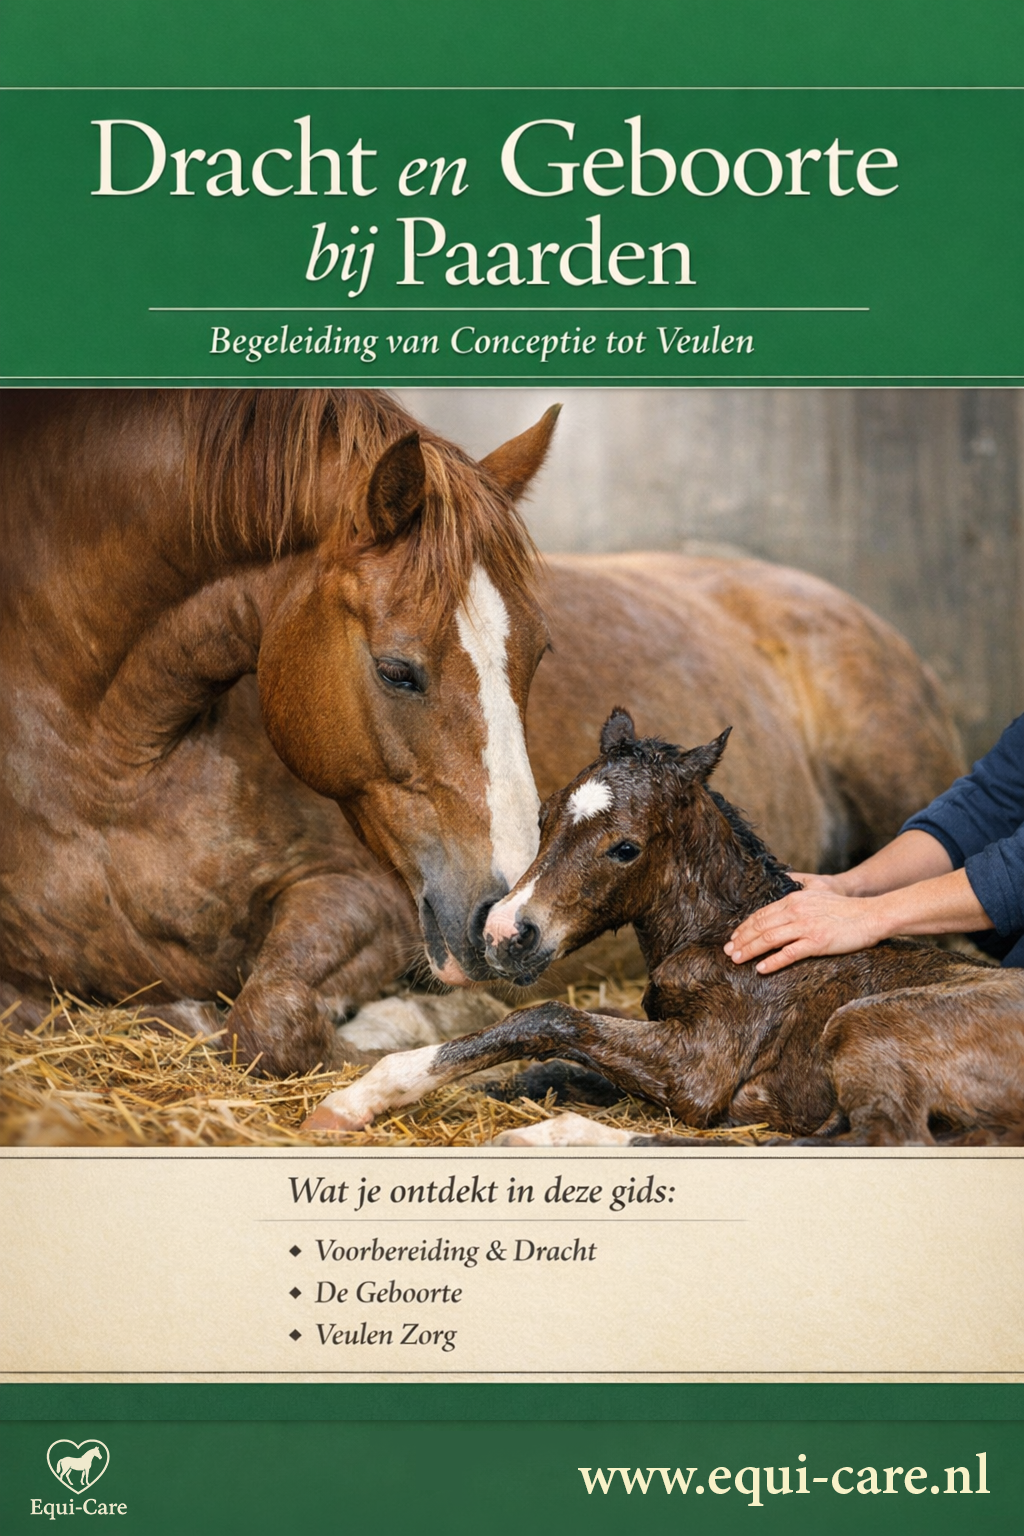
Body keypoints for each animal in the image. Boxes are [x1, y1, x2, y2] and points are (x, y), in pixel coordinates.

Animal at [1, 389, 964, 1078]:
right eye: (397, 670)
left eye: (539, 653)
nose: (500, 917)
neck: (111, 762)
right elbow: (40, 1008)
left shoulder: (373, 897)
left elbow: (269, 1021)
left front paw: (409, 1023)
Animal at [304, 711, 1024, 1146]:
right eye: (543, 817)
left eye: (626, 848)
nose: (506, 933)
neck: (726, 936)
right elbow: (552, 1060)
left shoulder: (699, 1068)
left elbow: (547, 1020)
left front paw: (368, 1092)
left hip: (866, 1023)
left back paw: (555, 1137)